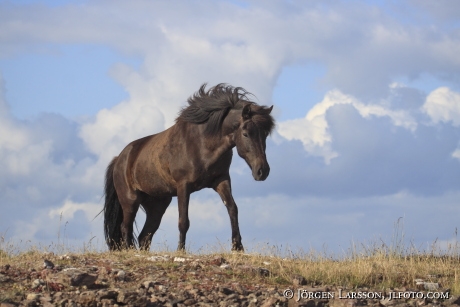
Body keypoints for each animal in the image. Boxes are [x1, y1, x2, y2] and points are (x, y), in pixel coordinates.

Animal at [103, 83, 274, 251]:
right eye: (246, 133)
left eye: (265, 134)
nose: (262, 171)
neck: (201, 144)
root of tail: (119, 159)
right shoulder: (183, 186)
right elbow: (183, 221)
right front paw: (181, 250)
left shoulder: (221, 180)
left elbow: (232, 209)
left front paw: (237, 247)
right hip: (130, 201)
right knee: (126, 228)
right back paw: (129, 251)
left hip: (157, 205)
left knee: (144, 236)